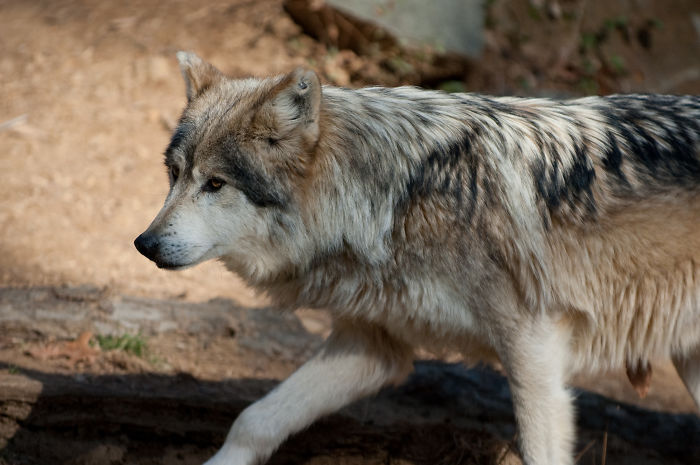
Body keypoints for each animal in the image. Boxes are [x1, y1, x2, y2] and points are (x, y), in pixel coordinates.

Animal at [134, 52, 700, 465]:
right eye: (174, 175)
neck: (398, 199)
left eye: (215, 184)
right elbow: (254, 420)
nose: (144, 244)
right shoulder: (373, 346)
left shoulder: (533, 345)